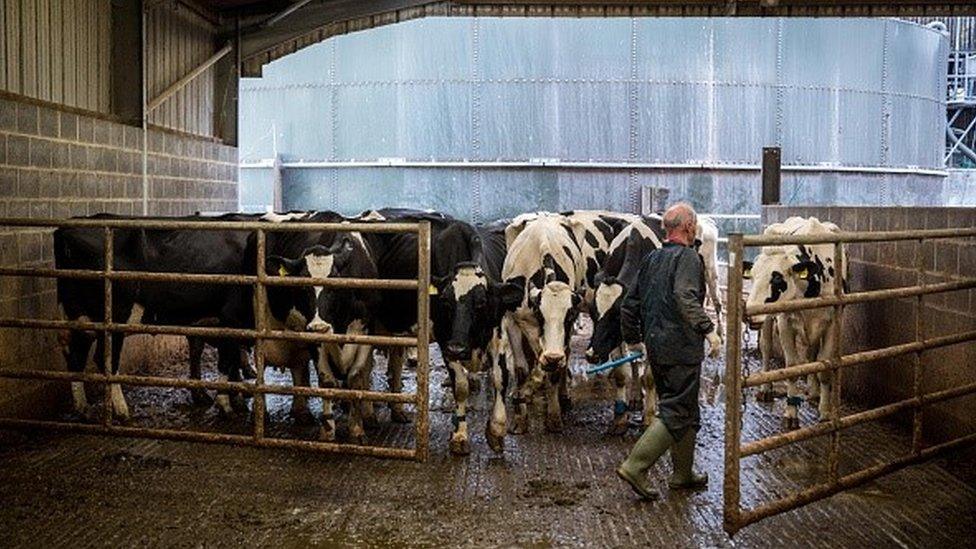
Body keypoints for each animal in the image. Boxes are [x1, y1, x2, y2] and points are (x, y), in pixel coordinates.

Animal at [500, 213, 584, 436]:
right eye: (540, 313)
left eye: (569, 316)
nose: (553, 357)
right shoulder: (511, 321)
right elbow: (521, 368)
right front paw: (520, 419)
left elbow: (554, 372)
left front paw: (554, 417)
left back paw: (562, 395)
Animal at [588, 218, 664, 432]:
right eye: (593, 313)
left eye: (616, 316)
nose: (592, 354)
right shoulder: (617, 337)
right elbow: (622, 373)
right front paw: (620, 418)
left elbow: (650, 378)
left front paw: (648, 418)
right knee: (635, 361)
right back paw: (636, 399)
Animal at [744, 214, 844, 428]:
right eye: (752, 276)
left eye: (776, 279)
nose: (748, 314)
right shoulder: (785, 321)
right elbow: (791, 367)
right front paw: (791, 414)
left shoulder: (834, 319)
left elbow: (824, 367)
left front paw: (825, 412)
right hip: (769, 321)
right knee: (766, 347)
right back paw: (766, 389)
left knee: (812, 353)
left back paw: (814, 392)